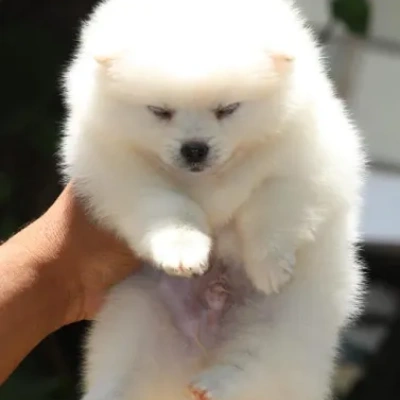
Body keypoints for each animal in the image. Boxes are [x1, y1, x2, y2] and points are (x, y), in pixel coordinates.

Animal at [60, 0, 366, 398]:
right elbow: (168, 208)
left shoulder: (308, 159)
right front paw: (183, 251)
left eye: (227, 109)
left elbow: (270, 208)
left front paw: (268, 266)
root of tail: (199, 349)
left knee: (254, 364)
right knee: (122, 371)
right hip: (137, 316)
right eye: (160, 111)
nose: (195, 148)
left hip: (284, 325)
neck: (209, 179)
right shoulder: (118, 169)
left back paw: (215, 383)